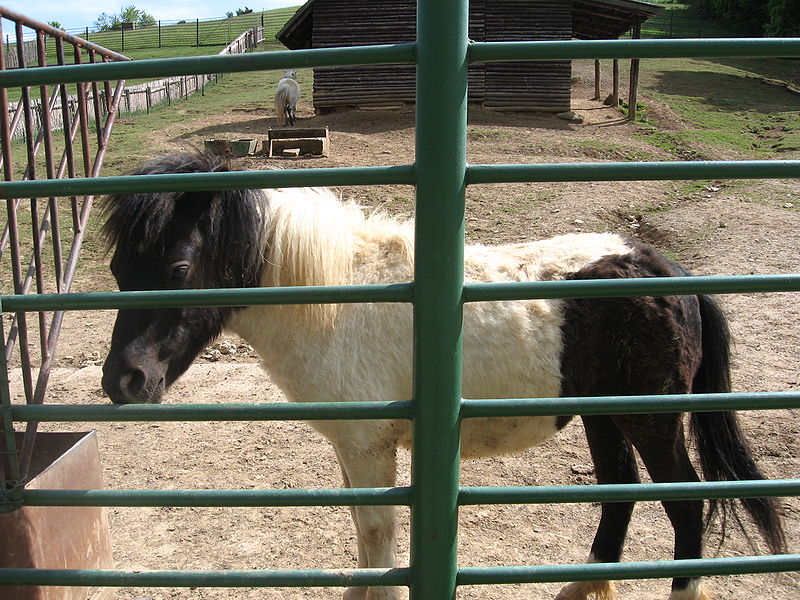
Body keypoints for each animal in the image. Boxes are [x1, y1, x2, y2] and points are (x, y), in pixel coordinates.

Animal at [98, 151, 780, 600]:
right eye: (118, 268)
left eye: (179, 267)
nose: (123, 381)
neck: (334, 297)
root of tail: (666, 270)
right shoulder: (353, 447)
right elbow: (364, 534)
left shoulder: (368, 446)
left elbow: (378, 536)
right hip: (605, 418)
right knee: (620, 496)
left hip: (652, 420)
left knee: (685, 508)